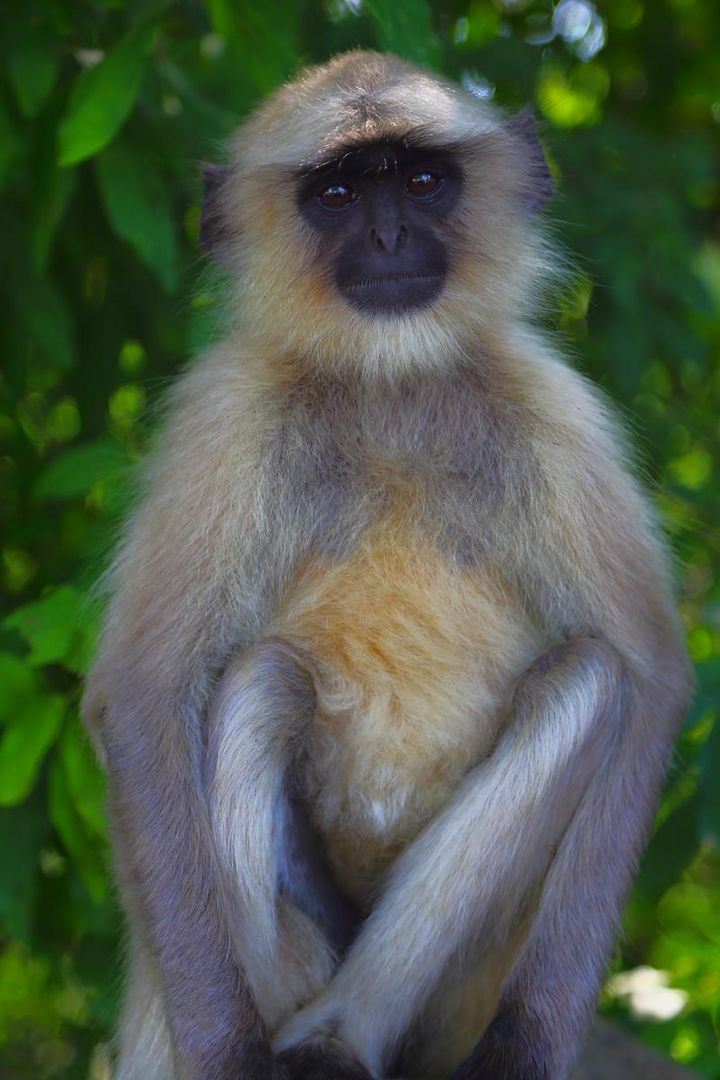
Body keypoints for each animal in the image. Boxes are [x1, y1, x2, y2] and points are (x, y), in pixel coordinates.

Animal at [83, 48, 690, 1080]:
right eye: (335, 194)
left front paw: (529, 1047)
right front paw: (228, 1056)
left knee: (590, 679)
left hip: (462, 984)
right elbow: (140, 692)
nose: (391, 233)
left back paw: (343, 1036)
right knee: (263, 684)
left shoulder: (554, 410)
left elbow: (649, 678)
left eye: (420, 181)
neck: (389, 382)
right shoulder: (225, 417)